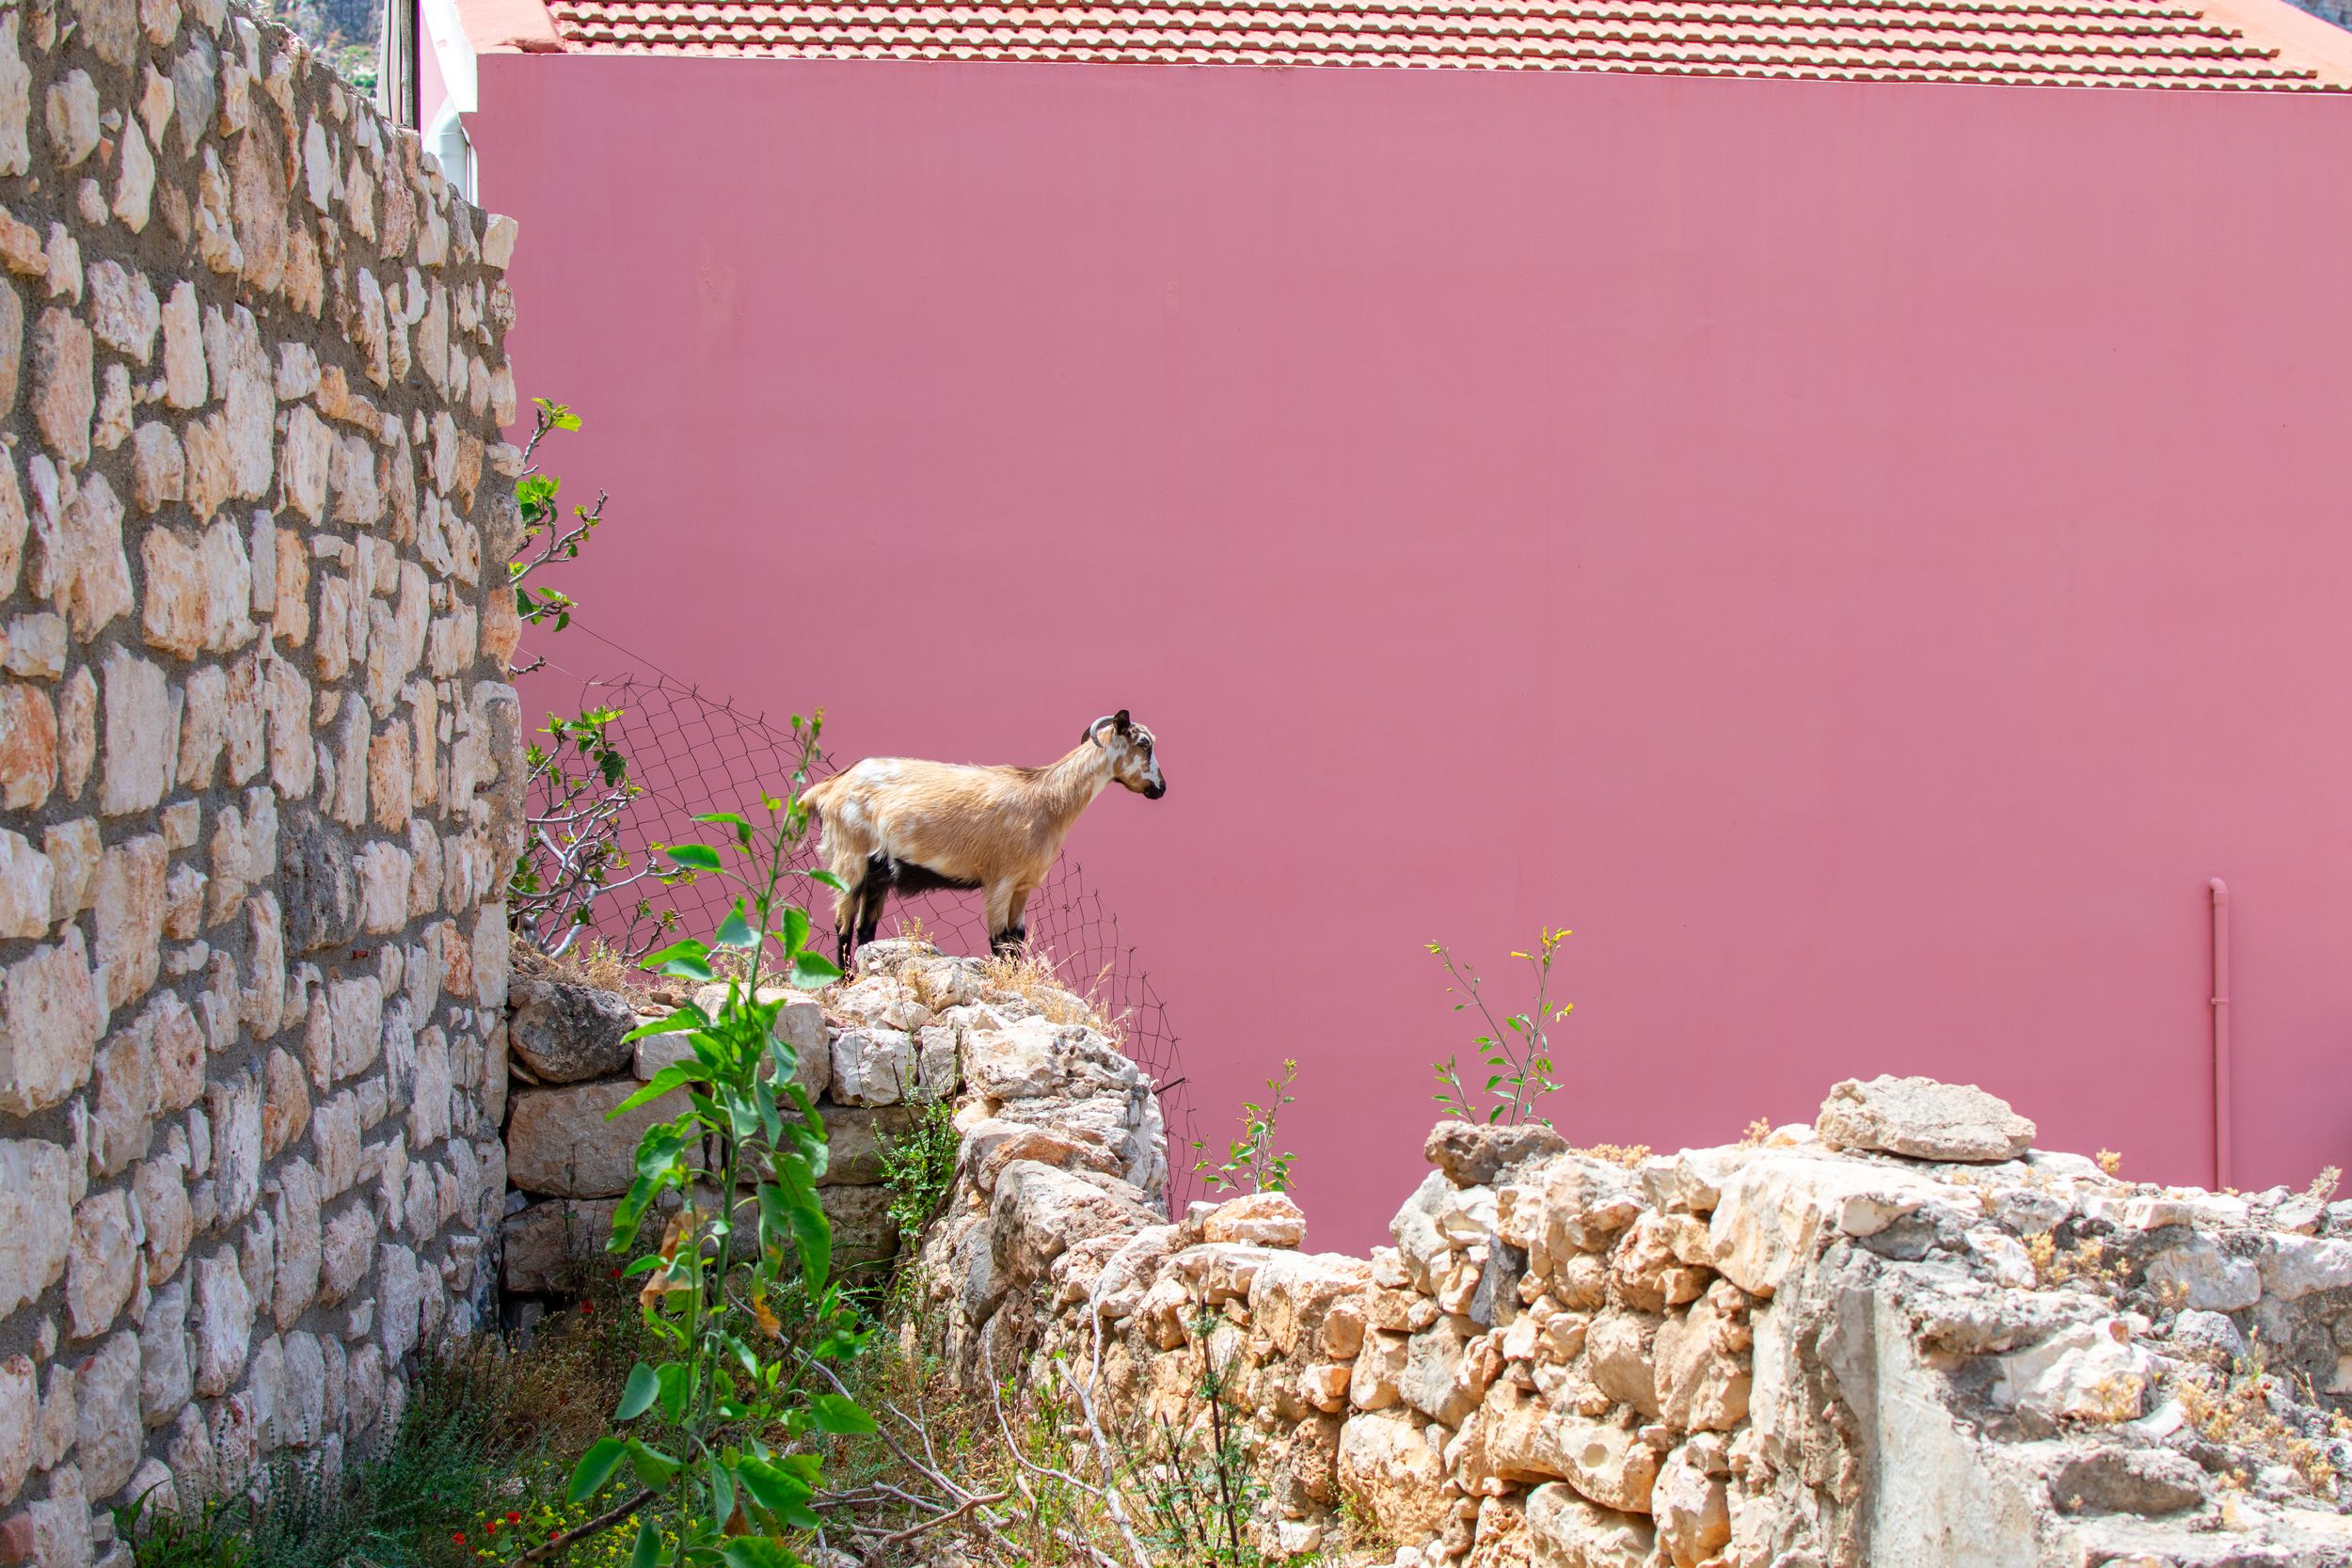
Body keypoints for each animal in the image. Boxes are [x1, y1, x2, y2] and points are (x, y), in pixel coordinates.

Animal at [802, 711, 1166, 968]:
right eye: (1144, 744)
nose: (1160, 788)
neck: (1046, 798)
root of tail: (827, 789)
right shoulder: (999, 880)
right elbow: (998, 941)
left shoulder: (1023, 886)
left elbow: (1016, 941)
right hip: (849, 859)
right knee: (843, 925)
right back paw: (845, 981)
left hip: (877, 873)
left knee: (865, 930)